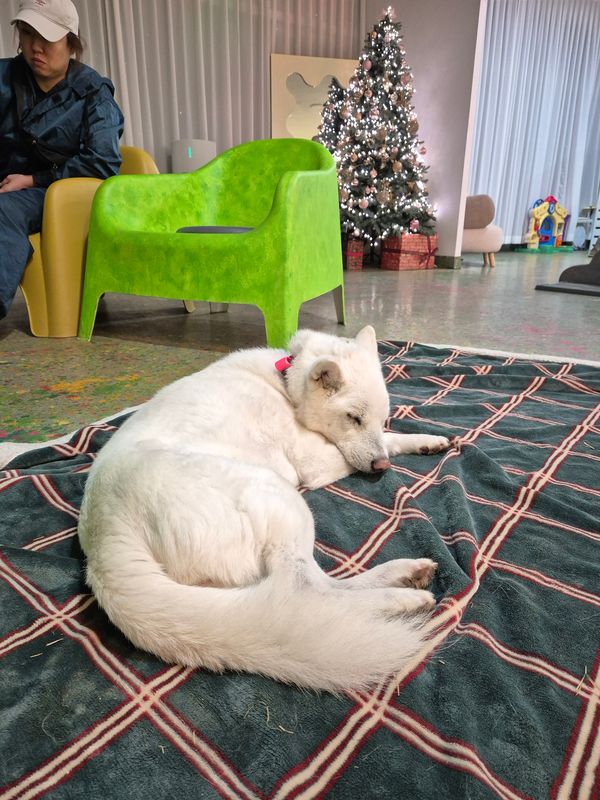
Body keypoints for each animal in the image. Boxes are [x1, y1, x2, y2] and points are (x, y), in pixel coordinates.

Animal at [78, 326, 453, 692]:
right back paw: (400, 598)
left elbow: (390, 438)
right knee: (306, 592)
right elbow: (375, 446)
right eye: (353, 418)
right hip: (281, 500)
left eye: (381, 417)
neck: (285, 383)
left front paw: (425, 441)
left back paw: (406, 575)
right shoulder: (317, 462)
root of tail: (105, 542)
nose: (381, 468)